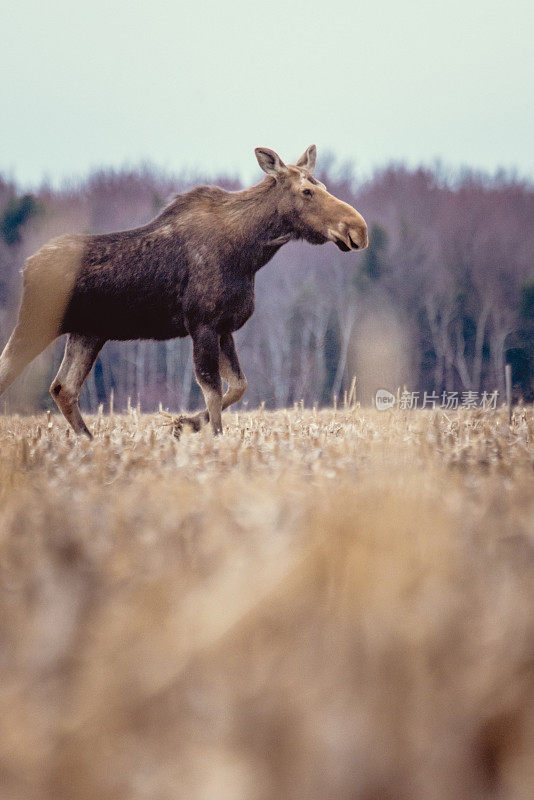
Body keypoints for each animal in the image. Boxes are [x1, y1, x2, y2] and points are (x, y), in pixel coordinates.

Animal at [0, 150, 368, 438]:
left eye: (322, 186)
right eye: (306, 191)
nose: (359, 229)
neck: (251, 251)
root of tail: (26, 267)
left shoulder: (224, 327)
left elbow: (238, 386)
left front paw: (183, 423)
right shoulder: (202, 323)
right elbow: (212, 389)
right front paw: (211, 437)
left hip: (88, 333)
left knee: (64, 388)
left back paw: (89, 441)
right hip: (36, 325)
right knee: (14, 373)